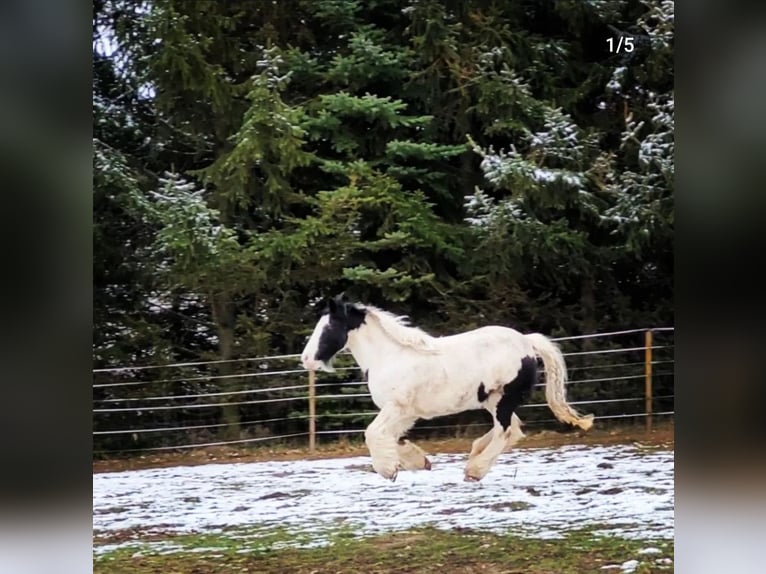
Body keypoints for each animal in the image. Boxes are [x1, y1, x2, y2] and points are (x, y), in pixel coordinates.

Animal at [300, 296, 592, 482]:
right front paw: (420, 462)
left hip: (504, 399)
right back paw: (475, 456)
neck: (389, 356)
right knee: (513, 428)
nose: (306, 359)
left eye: (329, 326)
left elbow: (372, 434)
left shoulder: (397, 407)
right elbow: (392, 437)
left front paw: (389, 470)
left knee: (506, 431)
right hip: (492, 400)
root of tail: (527, 342)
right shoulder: (405, 413)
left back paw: (474, 470)